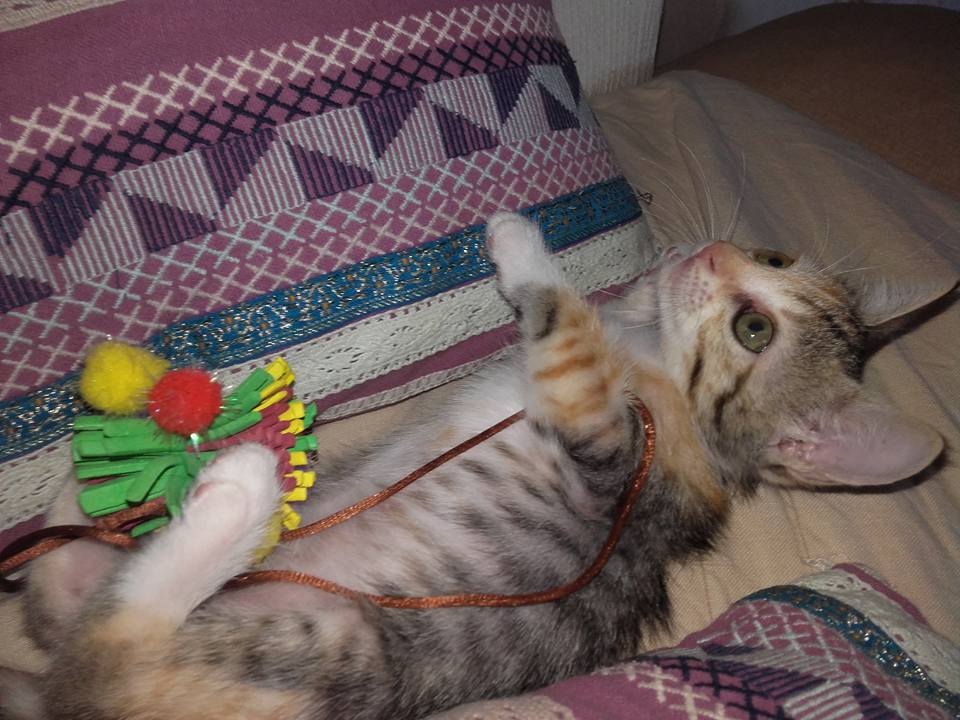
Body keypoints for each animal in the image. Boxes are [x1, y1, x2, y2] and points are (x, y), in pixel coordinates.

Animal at [4, 212, 943, 720]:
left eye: (755, 330)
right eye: (772, 257)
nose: (711, 251)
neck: (649, 357)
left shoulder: (607, 440)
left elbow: (561, 315)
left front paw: (525, 247)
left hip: (301, 648)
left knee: (106, 651)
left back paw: (234, 494)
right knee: (64, 596)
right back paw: (96, 486)